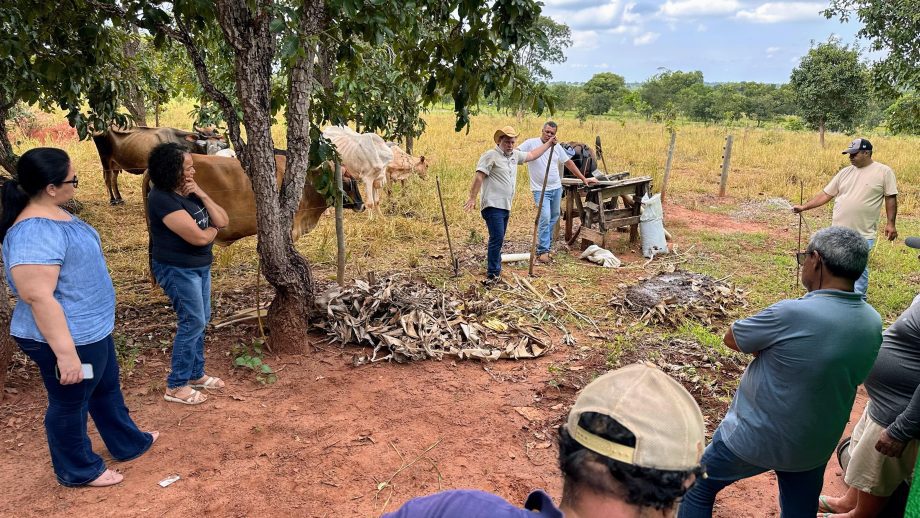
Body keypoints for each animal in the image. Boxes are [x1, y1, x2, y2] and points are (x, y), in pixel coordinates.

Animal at [93, 126, 228, 205]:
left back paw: (119, 198)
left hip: (116, 163)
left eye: (219, 144)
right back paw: (112, 200)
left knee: (114, 178)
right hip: (105, 159)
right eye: (204, 143)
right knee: (107, 179)